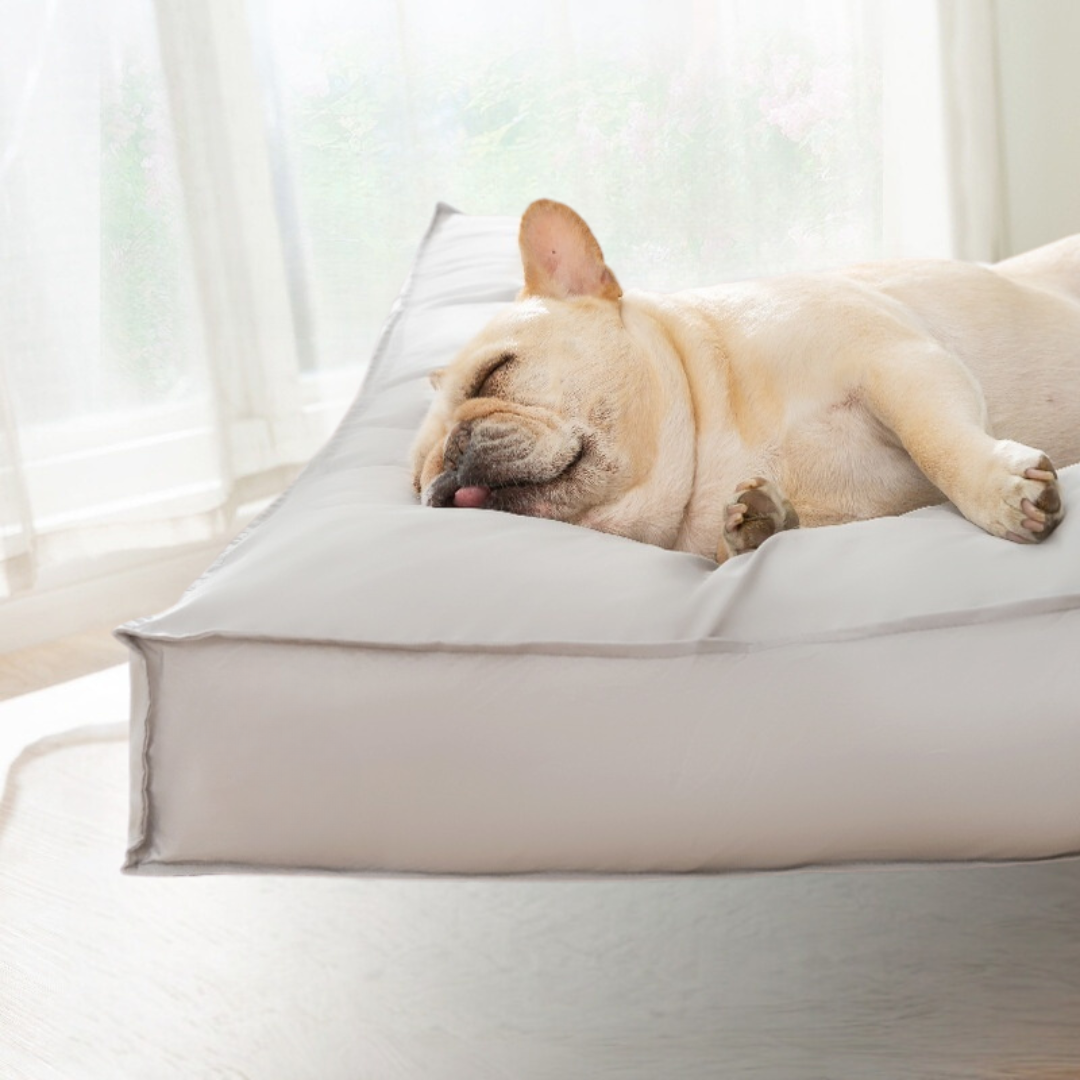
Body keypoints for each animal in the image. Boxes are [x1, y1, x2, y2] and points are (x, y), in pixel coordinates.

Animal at [410, 197, 1080, 561]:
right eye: (415, 480)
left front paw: (998, 492)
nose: (443, 465)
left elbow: (934, 440)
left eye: (495, 374)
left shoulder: (900, 360)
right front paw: (754, 524)